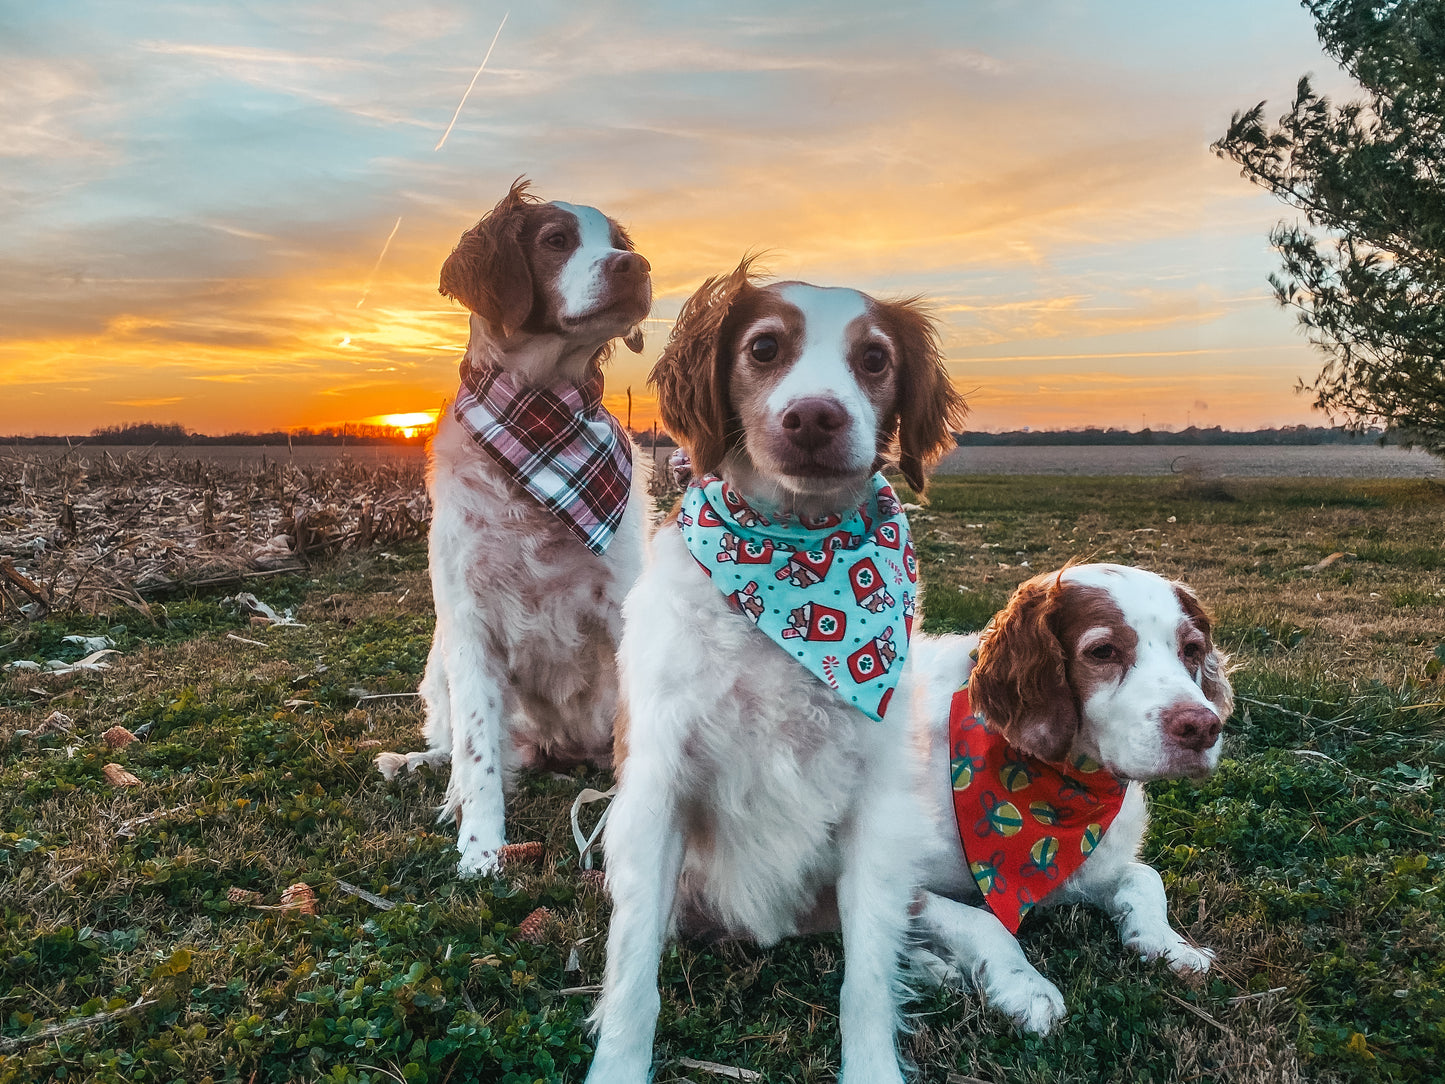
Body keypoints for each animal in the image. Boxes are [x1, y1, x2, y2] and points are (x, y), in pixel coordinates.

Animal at [384, 185, 656, 884]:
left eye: (619, 241)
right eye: (556, 240)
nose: (637, 265)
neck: (540, 423)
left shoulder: (620, 604)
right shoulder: (469, 621)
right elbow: (478, 751)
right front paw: (480, 848)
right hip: (439, 667)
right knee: (460, 744)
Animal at [580, 257, 965, 1084]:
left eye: (874, 359)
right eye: (762, 348)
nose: (815, 417)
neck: (793, 558)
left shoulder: (875, 804)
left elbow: (866, 978)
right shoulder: (657, 786)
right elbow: (631, 975)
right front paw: (618, 1063)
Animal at [907, 569, 1236, 1034]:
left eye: (1192, 649)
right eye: (1102, 651)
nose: (1202, 727)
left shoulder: (1089, 868)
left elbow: (1145, 878)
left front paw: (1170, 944)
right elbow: (984, 922)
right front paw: (1026, 987)